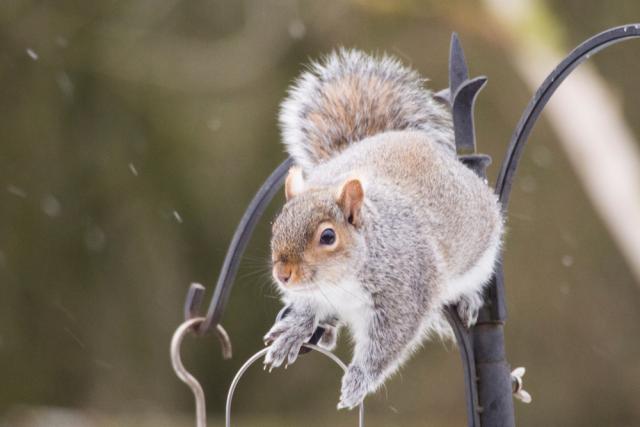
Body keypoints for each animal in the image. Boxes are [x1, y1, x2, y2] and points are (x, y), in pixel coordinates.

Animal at [262, 48, 503, 410]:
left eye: (328, 236)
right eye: (277, 225)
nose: (283, 274)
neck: (339, 281)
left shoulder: (404, 294)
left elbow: (388, 344)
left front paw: (359, 381)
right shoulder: (312, 293)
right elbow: (306, 309)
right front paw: (295, 330)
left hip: (479, 256)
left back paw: (468, 300)